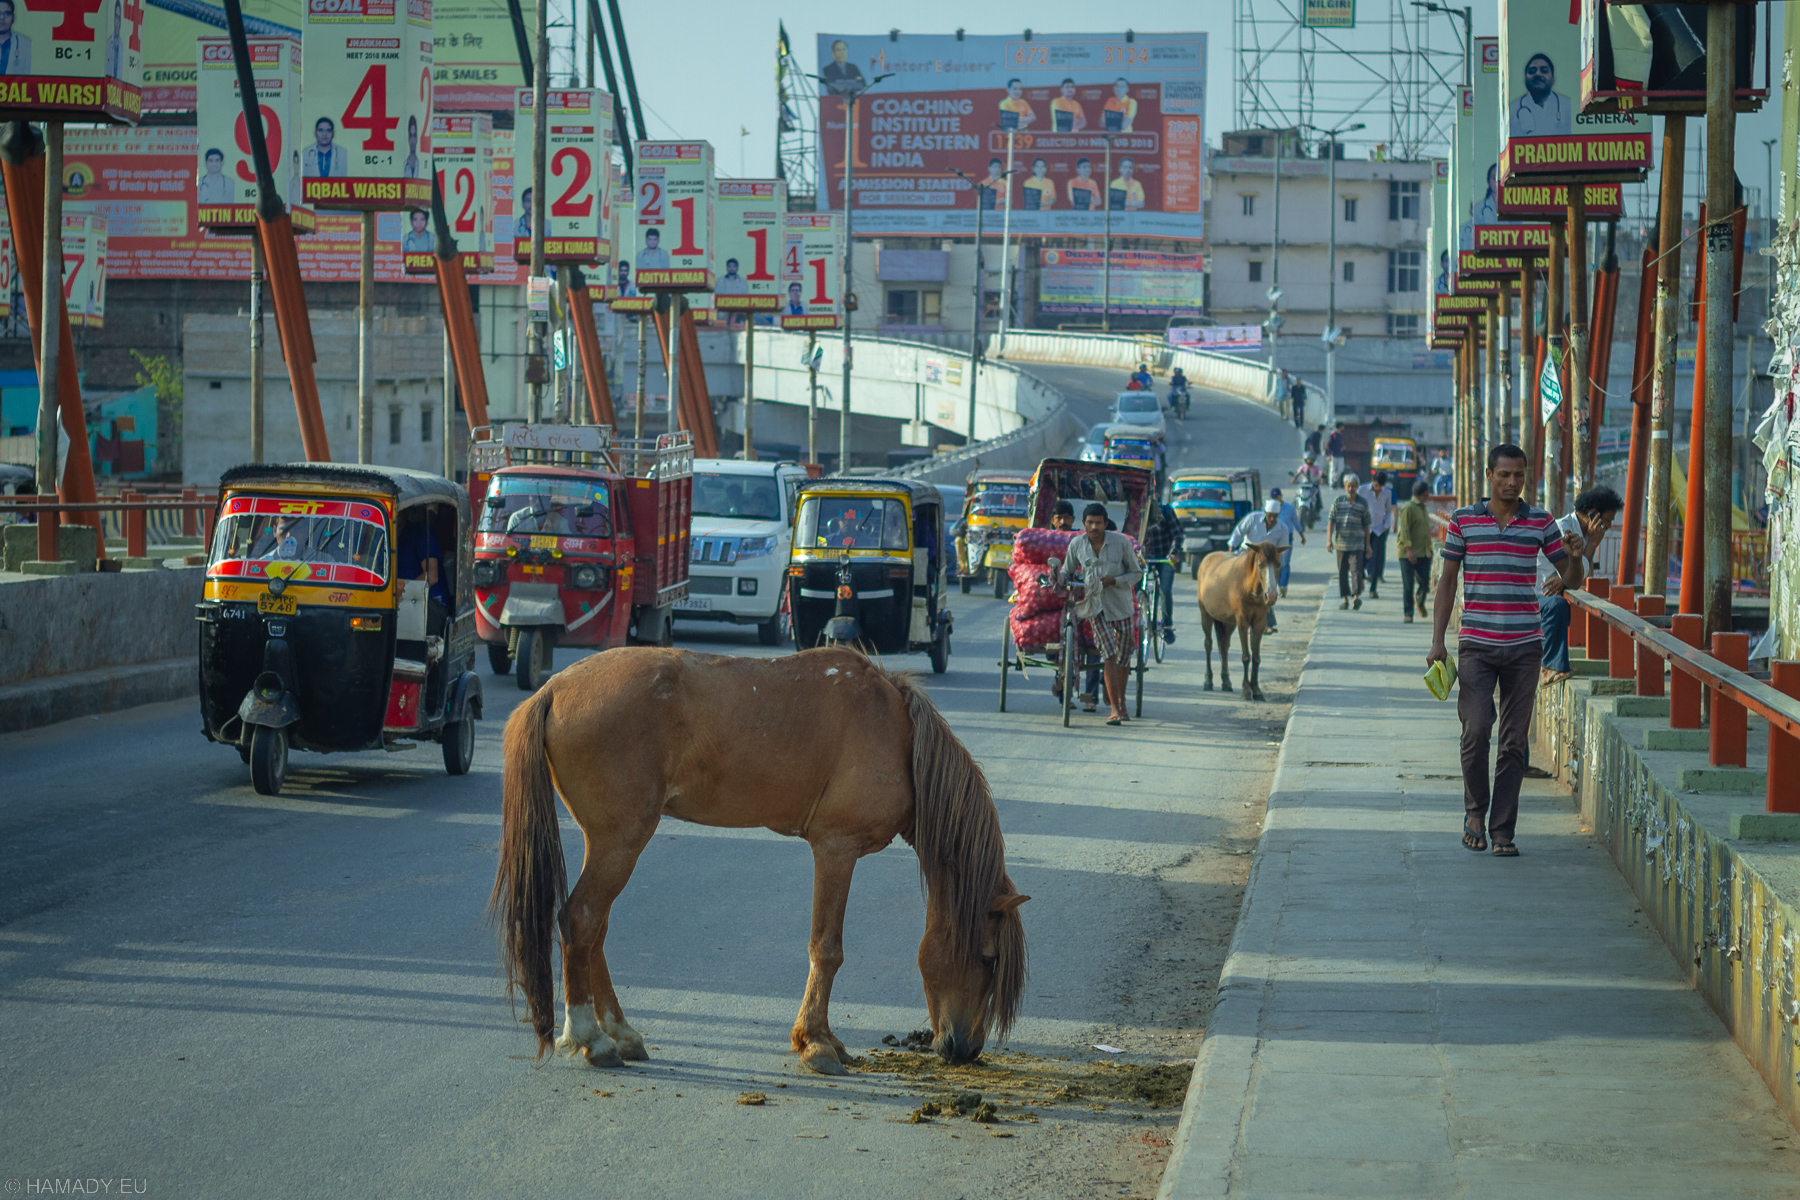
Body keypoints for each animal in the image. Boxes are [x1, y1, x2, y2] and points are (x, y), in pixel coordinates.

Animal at [493, 647, 1029, 1079]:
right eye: (988, 958)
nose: (965, 1049)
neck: (899, 734)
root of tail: (553, 689)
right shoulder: (835, 849)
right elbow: (826, 949)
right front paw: (817, 1044)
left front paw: (824, 1040)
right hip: (620, 843)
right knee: (580, 920)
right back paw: (590, 1037)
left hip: (609, 846)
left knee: (594, 929)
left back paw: (622, 1035)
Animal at [1195, 539, 1281, 698]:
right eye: (1260, 565)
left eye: (1278, 564)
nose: (1271, 595)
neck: (1250, 587)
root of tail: (1206, 559)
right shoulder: (1243, 622)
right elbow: (1246, 656)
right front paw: (1246, 689)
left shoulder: (1259, 623)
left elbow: (1256, 657)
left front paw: (1256, 689)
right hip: (1206, 615)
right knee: (1208, 644)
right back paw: (1208, 681)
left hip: (1228, 622)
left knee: (1224, 647)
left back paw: (1226, 682)